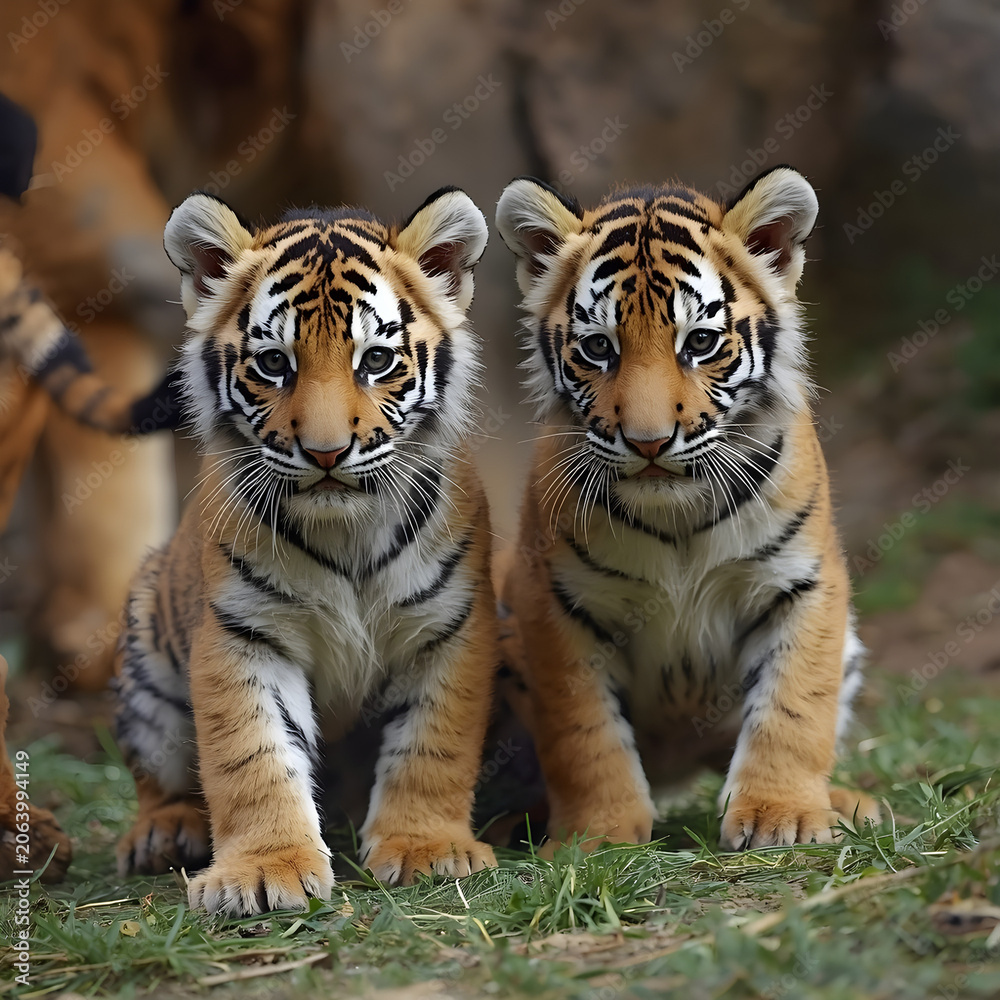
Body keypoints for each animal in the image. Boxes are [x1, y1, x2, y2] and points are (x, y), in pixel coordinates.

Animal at [113, 186, 499, 916]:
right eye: (274, 364)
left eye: (375, 361)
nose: (325, 453)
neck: (346, 532)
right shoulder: (243, 634)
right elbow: (252, 757)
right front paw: (266, 870)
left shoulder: (450, 628)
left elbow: (432, 743)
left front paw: (426, 848)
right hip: (145, 663)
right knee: (158, 776)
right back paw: (163, 832)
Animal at [494, 166, 878, 853]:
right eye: (598, 348)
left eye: (699, 341)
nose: (648, 442)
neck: (677, 518)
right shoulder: (555, 604)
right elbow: (582, 733)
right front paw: (598, 835)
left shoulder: (801, 582)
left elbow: (793, 706)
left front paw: (782, 815)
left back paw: (845, 802)